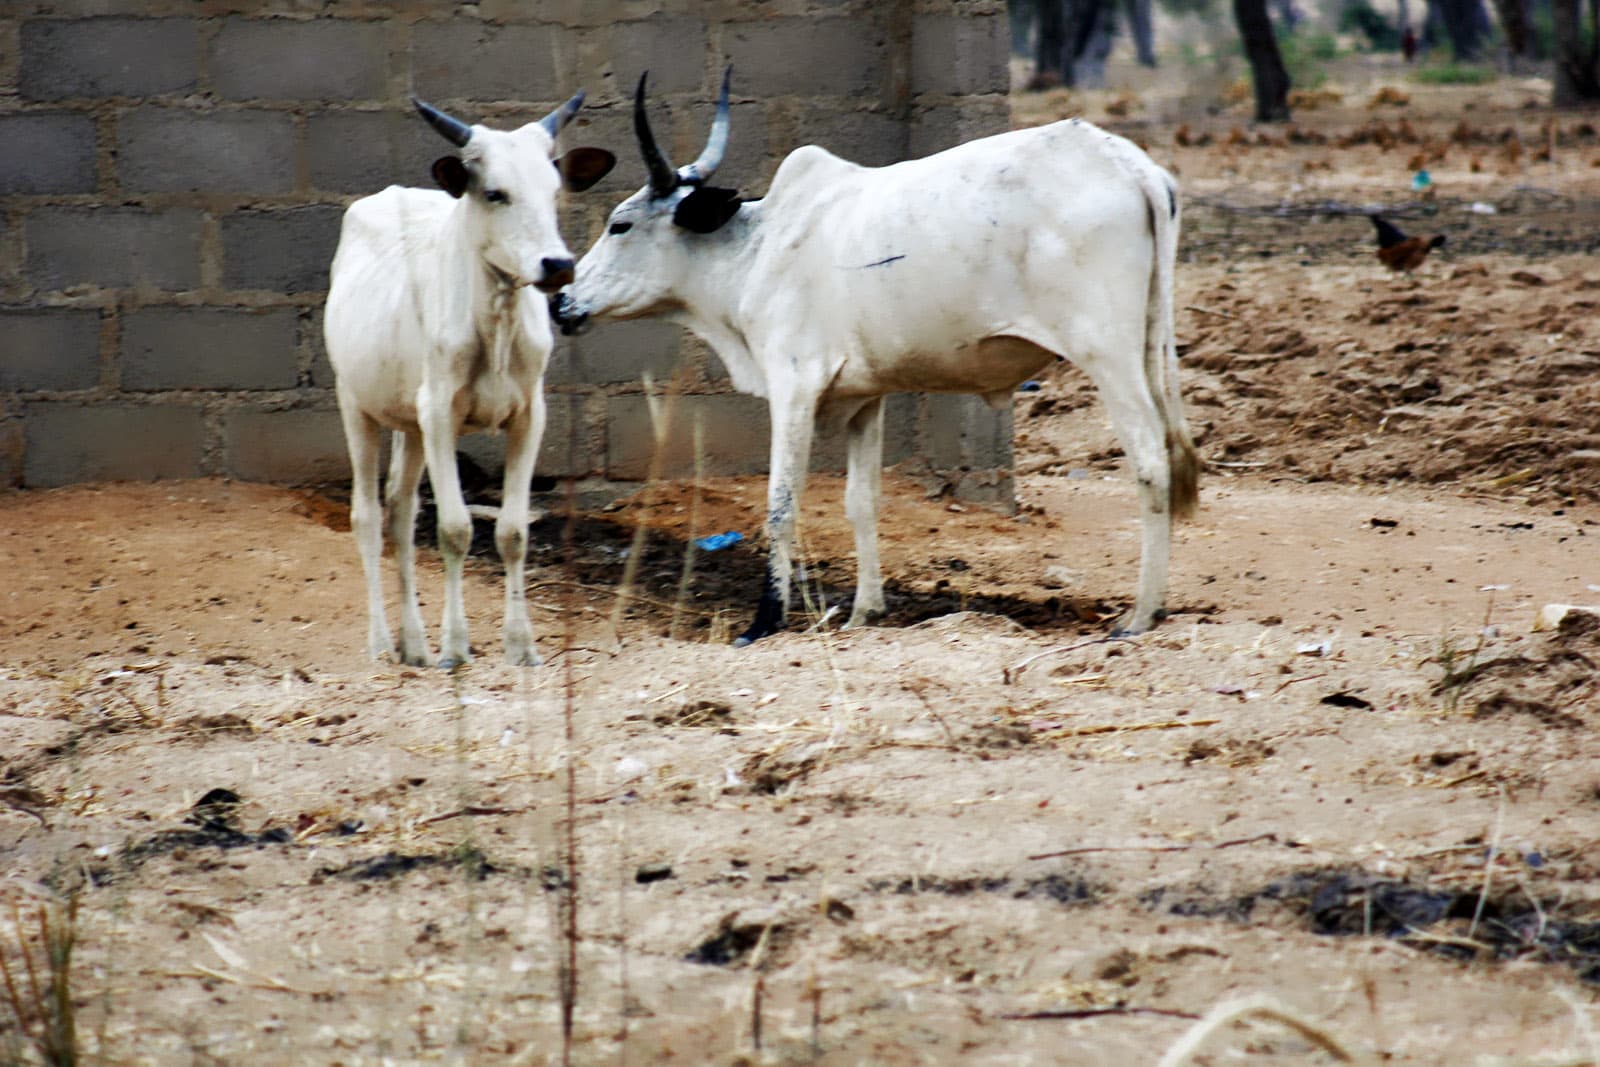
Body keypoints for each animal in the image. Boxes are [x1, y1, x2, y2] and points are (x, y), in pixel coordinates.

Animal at [324, 93, 615, 668]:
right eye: (495, 193)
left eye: (554, 190)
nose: (557, 264)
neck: (496, 323)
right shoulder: (440, 414)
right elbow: (456, 530)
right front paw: (456, 646)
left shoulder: (529, 416)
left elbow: (512, 532)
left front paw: (520, 645)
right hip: (357, 405)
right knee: (367, 516)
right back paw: (382, 643)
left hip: (409, 424)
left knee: (401, 512)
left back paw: (414, 644)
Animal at [552, 72, 1199, 646]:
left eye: (620, 224)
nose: (561, 301)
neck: (755, 249)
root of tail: (1131, 165)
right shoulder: (866, 396)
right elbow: (861, 502)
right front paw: (866, 612)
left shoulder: (793, 386)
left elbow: (780, 506)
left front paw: (764, 622)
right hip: (1145, 351)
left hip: (1108, 355)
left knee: (1150, 462)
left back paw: (1140, 614)